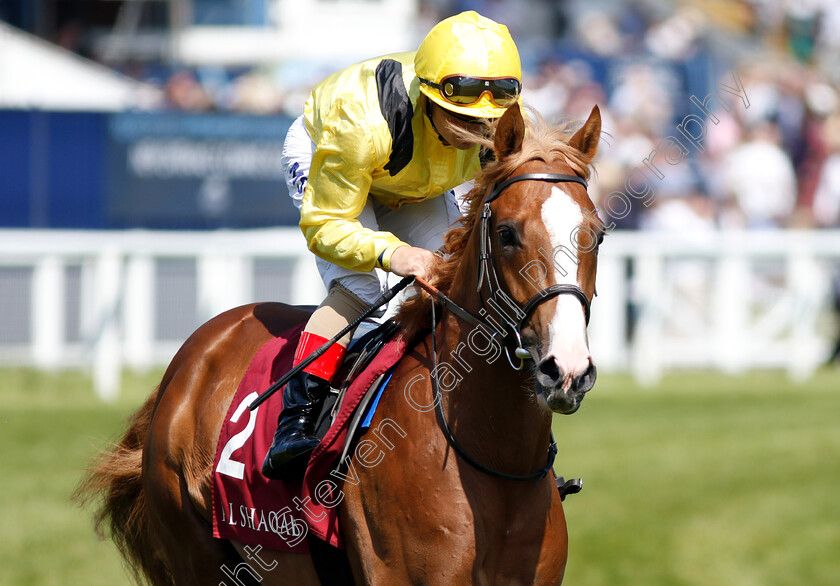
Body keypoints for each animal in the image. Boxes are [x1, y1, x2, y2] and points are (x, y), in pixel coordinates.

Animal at [77, 102, 604, 580]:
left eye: (596, 235)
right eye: (507, 233)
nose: (567, 369)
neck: (494, 461)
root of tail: (194, 353)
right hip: (196, 555)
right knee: (352, 288)